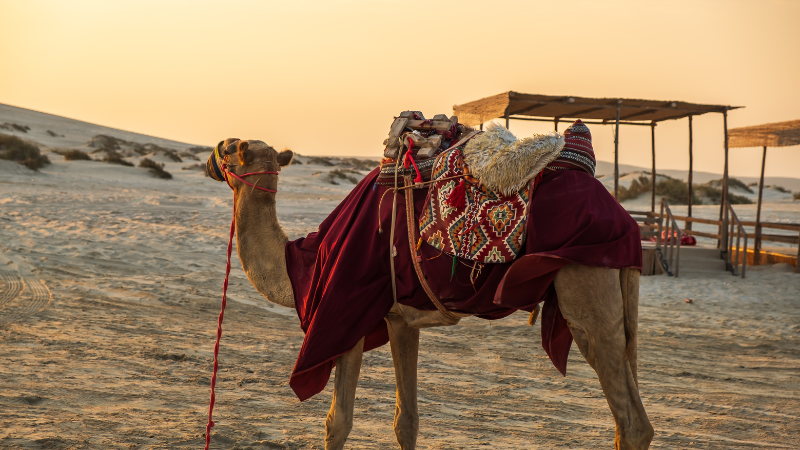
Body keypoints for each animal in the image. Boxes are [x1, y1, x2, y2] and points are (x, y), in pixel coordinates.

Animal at [209, 139, 652, 448]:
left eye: (231, 147)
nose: (212, 158)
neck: (305, 260)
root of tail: (626, 222)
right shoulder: (400, 319)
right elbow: (406, 422)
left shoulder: (343, 310)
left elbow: (338, 422)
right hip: (618, 300)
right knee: (632, 410)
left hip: (585, 286)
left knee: (629, 422)